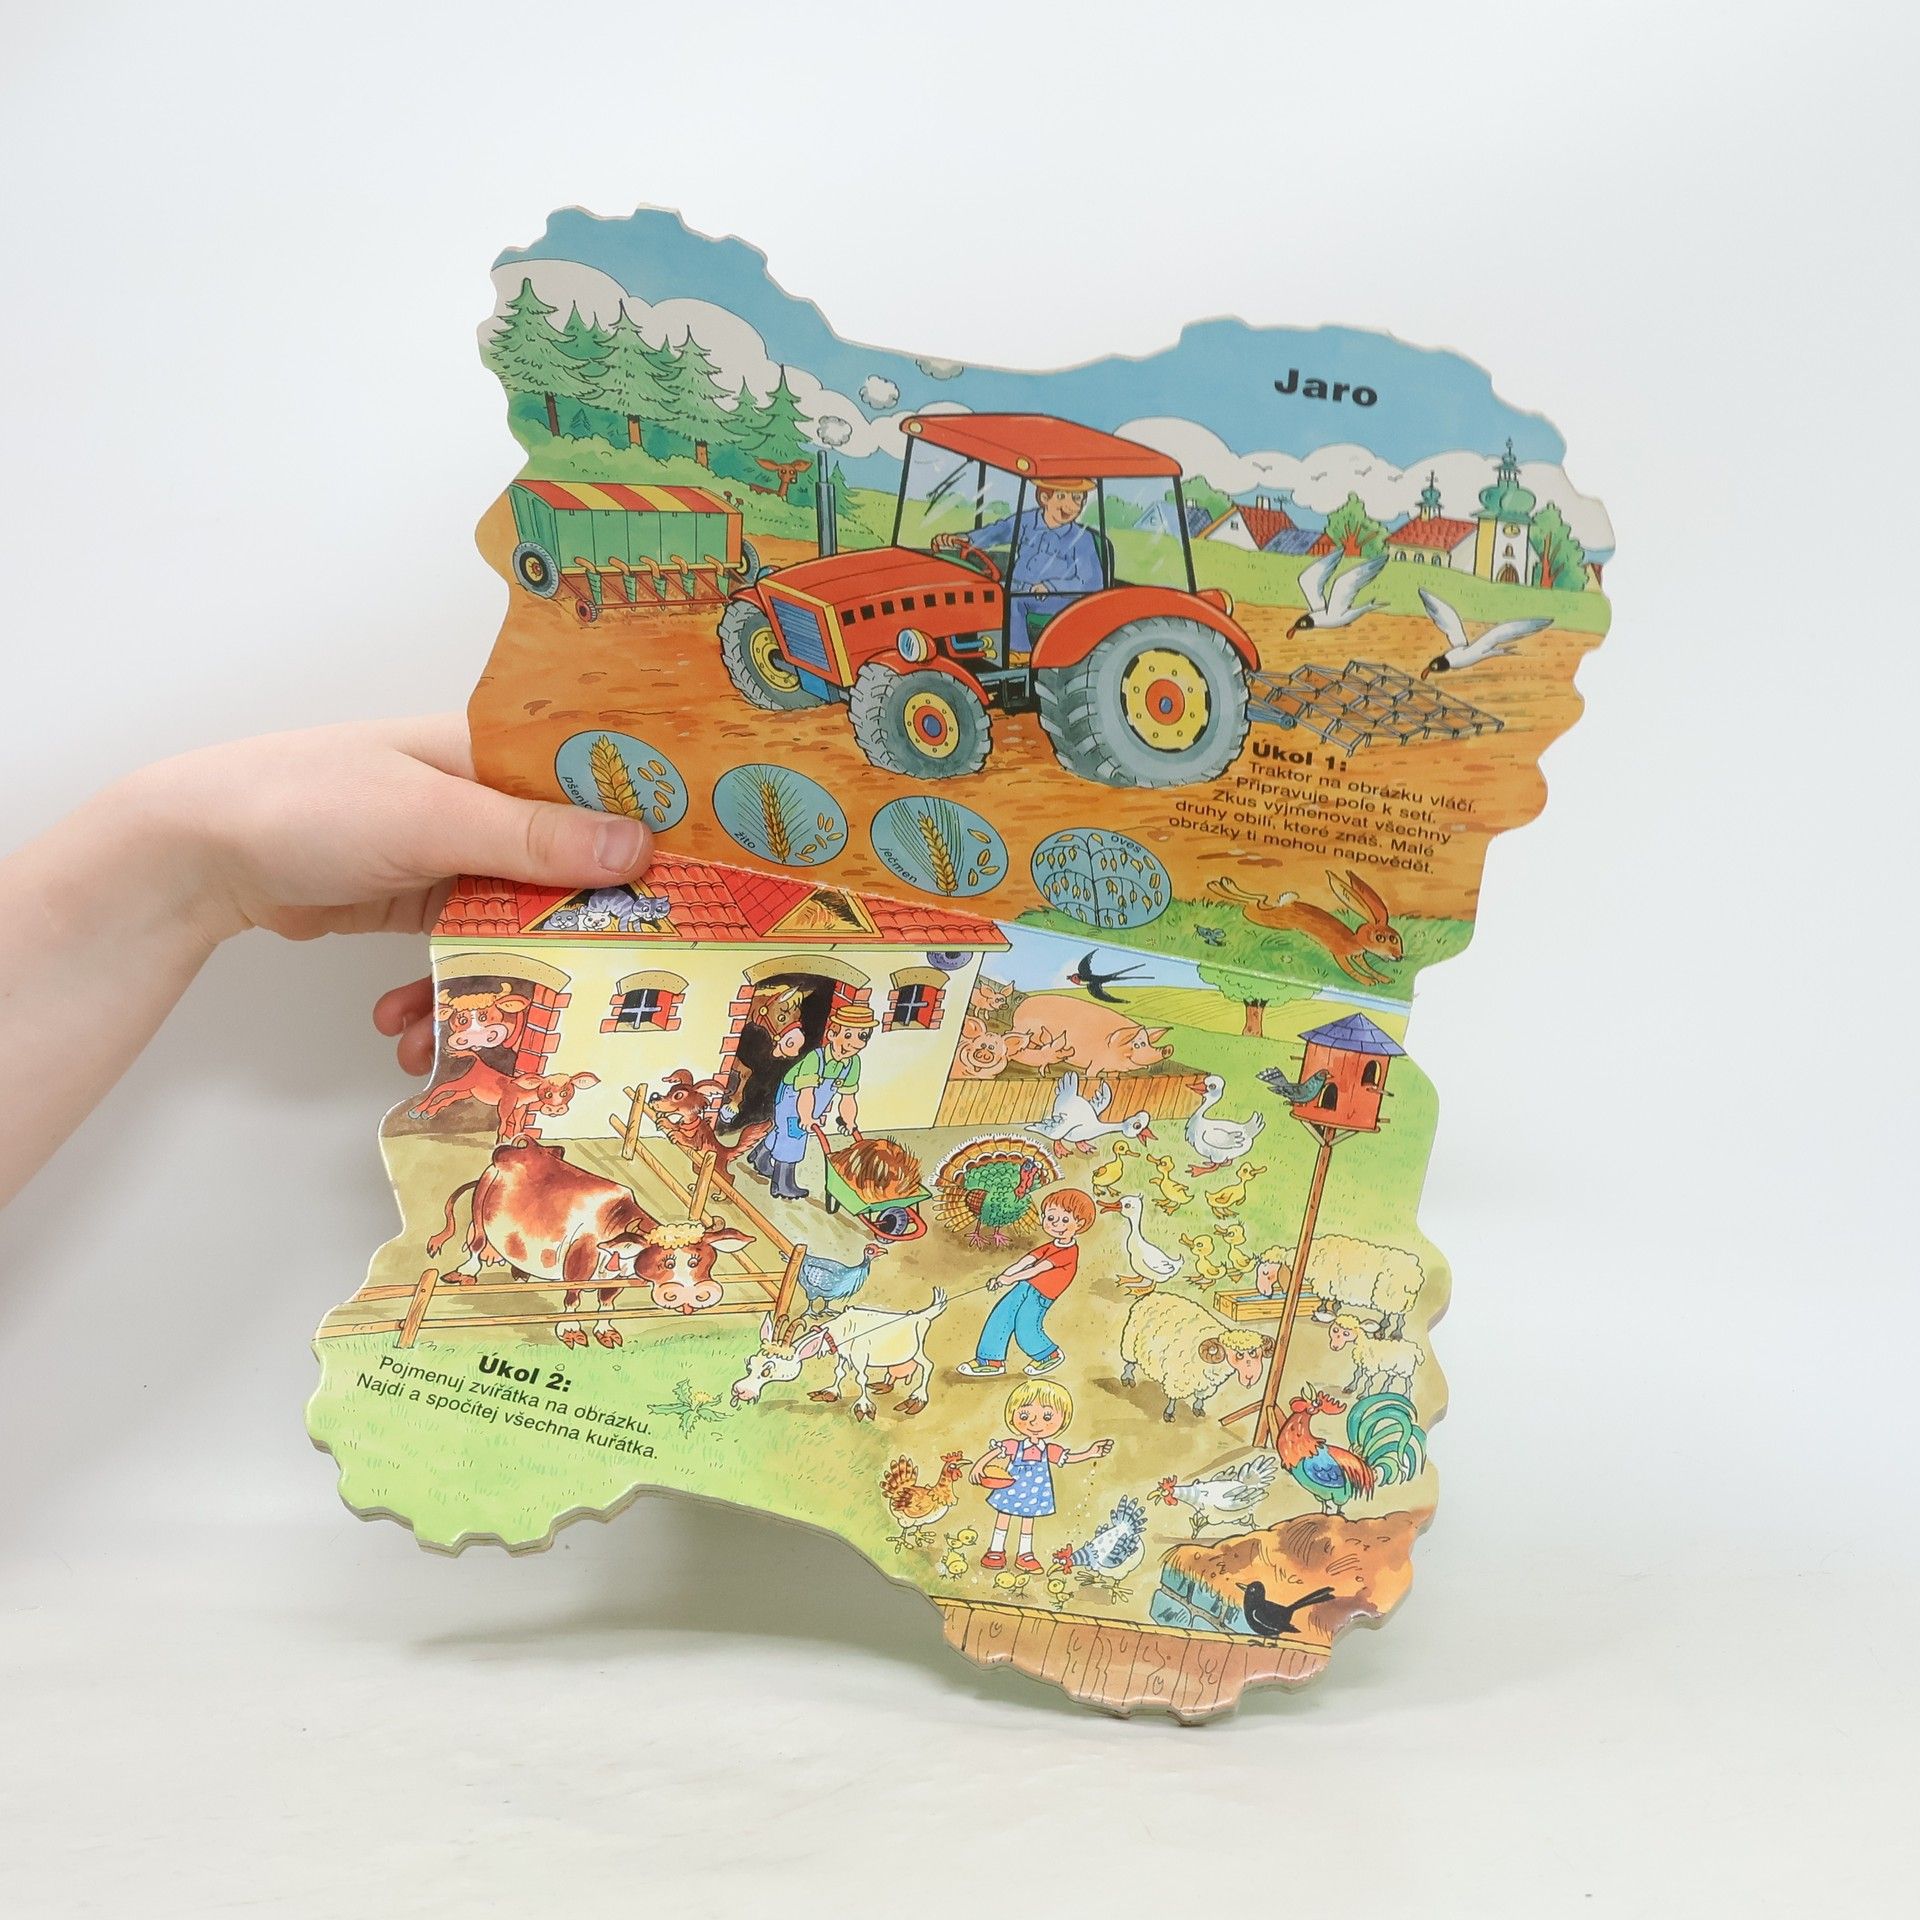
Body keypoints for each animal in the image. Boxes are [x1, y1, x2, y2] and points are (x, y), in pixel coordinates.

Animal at [409, 1061, 599, 1143]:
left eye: (566, 1092)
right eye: (547, 1093)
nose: (555, 1110)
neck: (524, 1091)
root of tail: (479, 1063)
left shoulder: (520, 1108)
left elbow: (518, 1127)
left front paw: (513, 1142)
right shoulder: (506, 1104)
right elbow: (503, 1124)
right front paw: (499, 1143)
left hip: (466, 1092)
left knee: (447, 1099)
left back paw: (428, 1113)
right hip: (464, 1083)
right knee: (439, 1088)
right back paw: (416, 1110)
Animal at [425, 1143, 754, 1347]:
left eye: (705, 1261)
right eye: (667, 1262)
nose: (695, 1292)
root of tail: (510, 1151)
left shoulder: (617, 1279)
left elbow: (606, 1303)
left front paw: (605, 1332)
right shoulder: (577, 1265)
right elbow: (572, 1299)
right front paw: (570, 1332)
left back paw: (520, 1272)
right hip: (481, 1198)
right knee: (477, 1241)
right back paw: (465, 1273)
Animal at [1207, 868, 1402, 987]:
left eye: (1396, 939)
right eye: (1380, 938)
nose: (1399, 957)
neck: (1356, 940)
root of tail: (1286, 906)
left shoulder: (1360, 956)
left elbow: (1369, 968)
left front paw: (1384, 978)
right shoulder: (1340, 954)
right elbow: (1351, 971)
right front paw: (1366, 981)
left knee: (1259, 899)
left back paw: (1222, 884)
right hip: (1269, 919)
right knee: (1253, 903)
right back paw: (1219, 885)